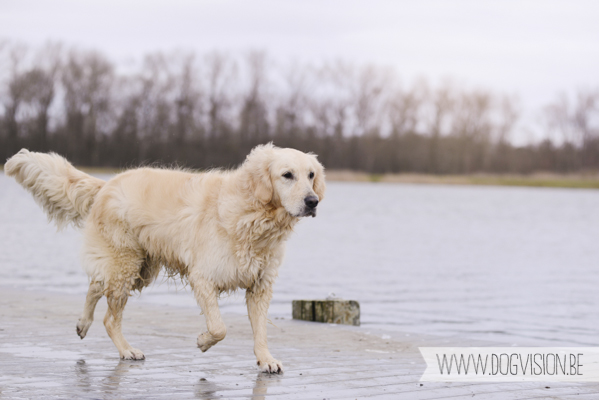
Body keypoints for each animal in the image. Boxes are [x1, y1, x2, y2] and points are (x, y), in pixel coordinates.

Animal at [4, 143, 326, 372]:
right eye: (287, 175)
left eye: (311, 175)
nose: (313, 201)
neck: (253, 215)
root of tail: (107, 184)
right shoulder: (203, 277)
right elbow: (219, 328)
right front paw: (203, 342)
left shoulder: (260, 285)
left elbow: (260, 330)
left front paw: (266, 359)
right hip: (127, 264)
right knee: (109, 316)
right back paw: (126, 350)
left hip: (139, 269)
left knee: (96, 285)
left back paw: (83, 324)